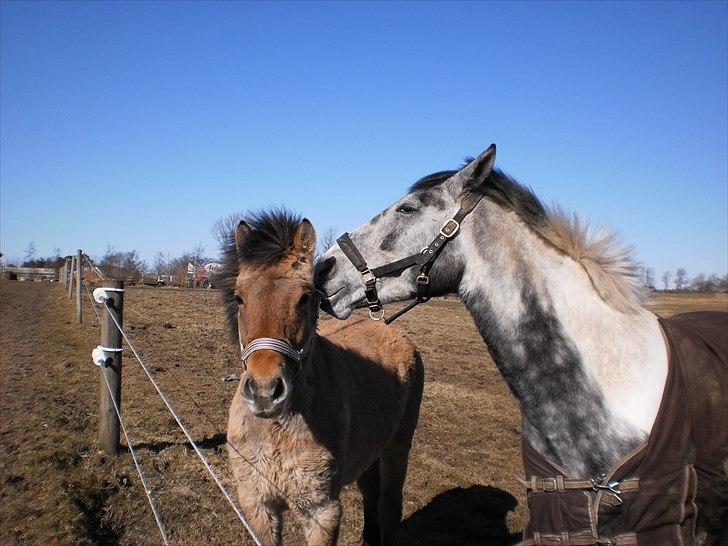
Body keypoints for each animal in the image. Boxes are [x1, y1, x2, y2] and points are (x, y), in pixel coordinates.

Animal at [222, 210, 426, 544]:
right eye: (239, 298)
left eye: (305, 298)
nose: (265, 392)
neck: (278, 429)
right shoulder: (258, 505)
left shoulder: (322, 512)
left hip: (397, 448)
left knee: (388, 508)